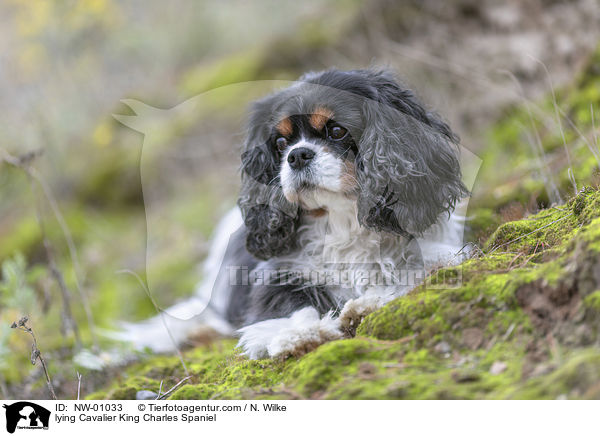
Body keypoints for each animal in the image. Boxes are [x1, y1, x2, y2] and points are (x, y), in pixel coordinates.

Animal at [117, 69, 472, 358]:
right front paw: (300, 333)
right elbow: (289, 305)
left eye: (337, 131)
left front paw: (370, 301)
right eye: (280, 142)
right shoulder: (281, 276)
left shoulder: (436, 251)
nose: (297, 155)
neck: (341, 220)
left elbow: (414, 272)